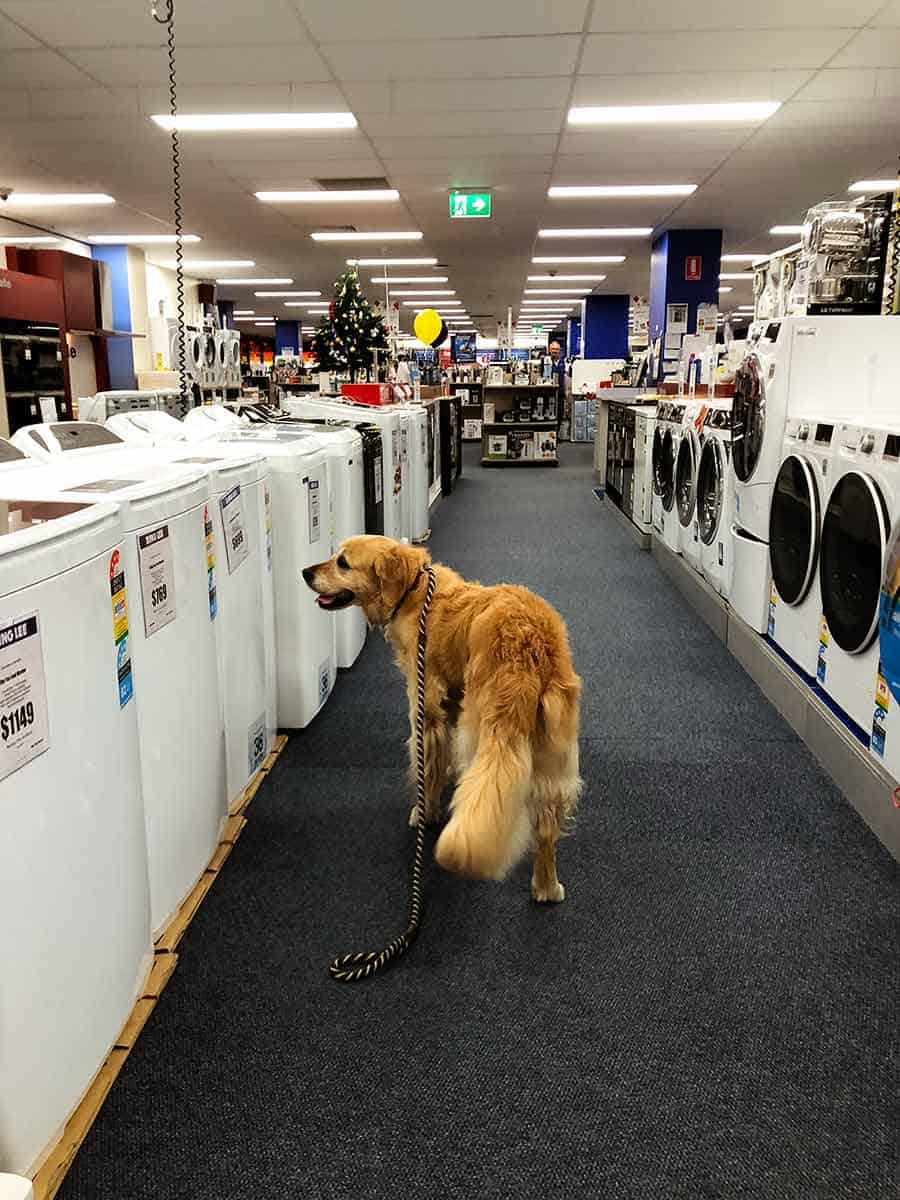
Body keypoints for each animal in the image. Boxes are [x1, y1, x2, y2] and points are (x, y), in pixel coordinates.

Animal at [303, 537, 585, 902]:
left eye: (343, 563)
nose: (305, 572)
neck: (413, 591)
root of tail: (528, 645)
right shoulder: (450, 703)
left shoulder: (426, 710)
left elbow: (429, 765)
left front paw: (426, 811)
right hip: (555, 754)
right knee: (547, 827)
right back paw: (547, 887)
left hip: (478, 731)